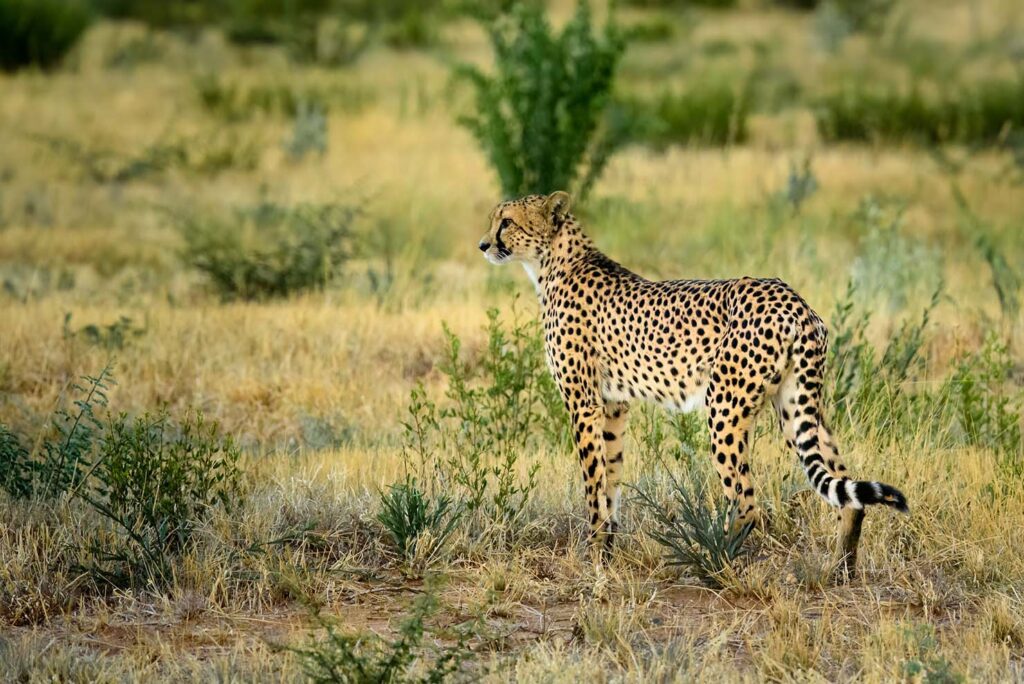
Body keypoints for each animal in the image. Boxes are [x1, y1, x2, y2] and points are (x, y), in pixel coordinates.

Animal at [475, 189, 909, 573]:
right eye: (493, 219)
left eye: (506, 221)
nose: (483, 245)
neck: (554, 263)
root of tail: (792, 299)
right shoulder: (614, 404)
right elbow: (611, 476)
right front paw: (608, 550)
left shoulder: (582, 402)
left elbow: (593, 482)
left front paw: (594, 551)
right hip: (796, 406)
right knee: (845, 491)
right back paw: (840, 569)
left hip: (724, 408)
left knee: (747, 502)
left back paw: (715, 557)